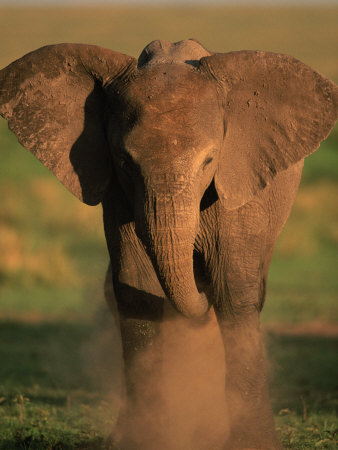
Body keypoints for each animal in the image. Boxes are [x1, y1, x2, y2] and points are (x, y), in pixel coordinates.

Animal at [0, 38, 338, 450]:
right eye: (125, 161)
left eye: (209, 160)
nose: (198, 280)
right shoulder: (118, 194)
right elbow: (136, 288)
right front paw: (142, 438)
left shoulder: (237, 185)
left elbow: (232, 291)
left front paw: (252, 445)